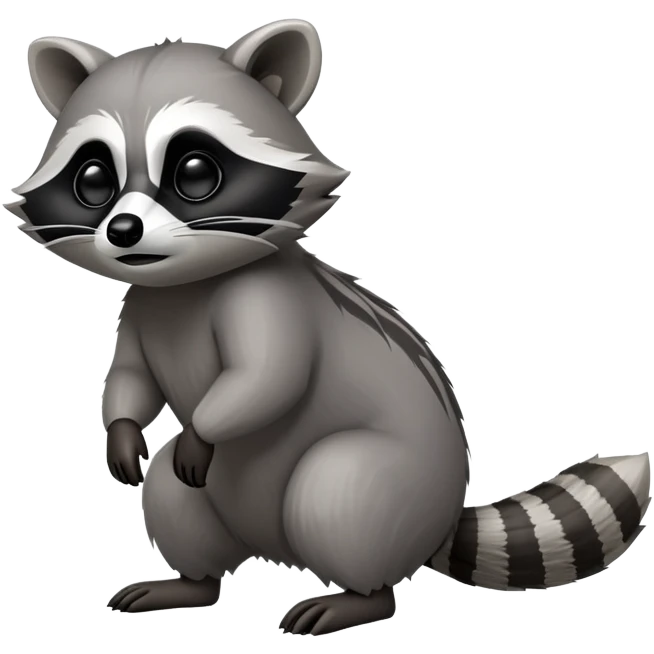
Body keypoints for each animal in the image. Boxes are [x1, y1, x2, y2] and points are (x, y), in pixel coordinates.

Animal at [8, 21, 651, 635]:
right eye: (93, 180)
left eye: (195, 173)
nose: (123, 232)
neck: (186, 283)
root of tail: (439, 518)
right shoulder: (142, 306)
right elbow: (131, 378)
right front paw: (120, 431)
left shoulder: (267, 299)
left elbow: (267, 379)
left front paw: (206, 429)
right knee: (170, 492)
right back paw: (191, 584)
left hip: (382, 489)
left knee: (335, 486)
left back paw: (358, 598)